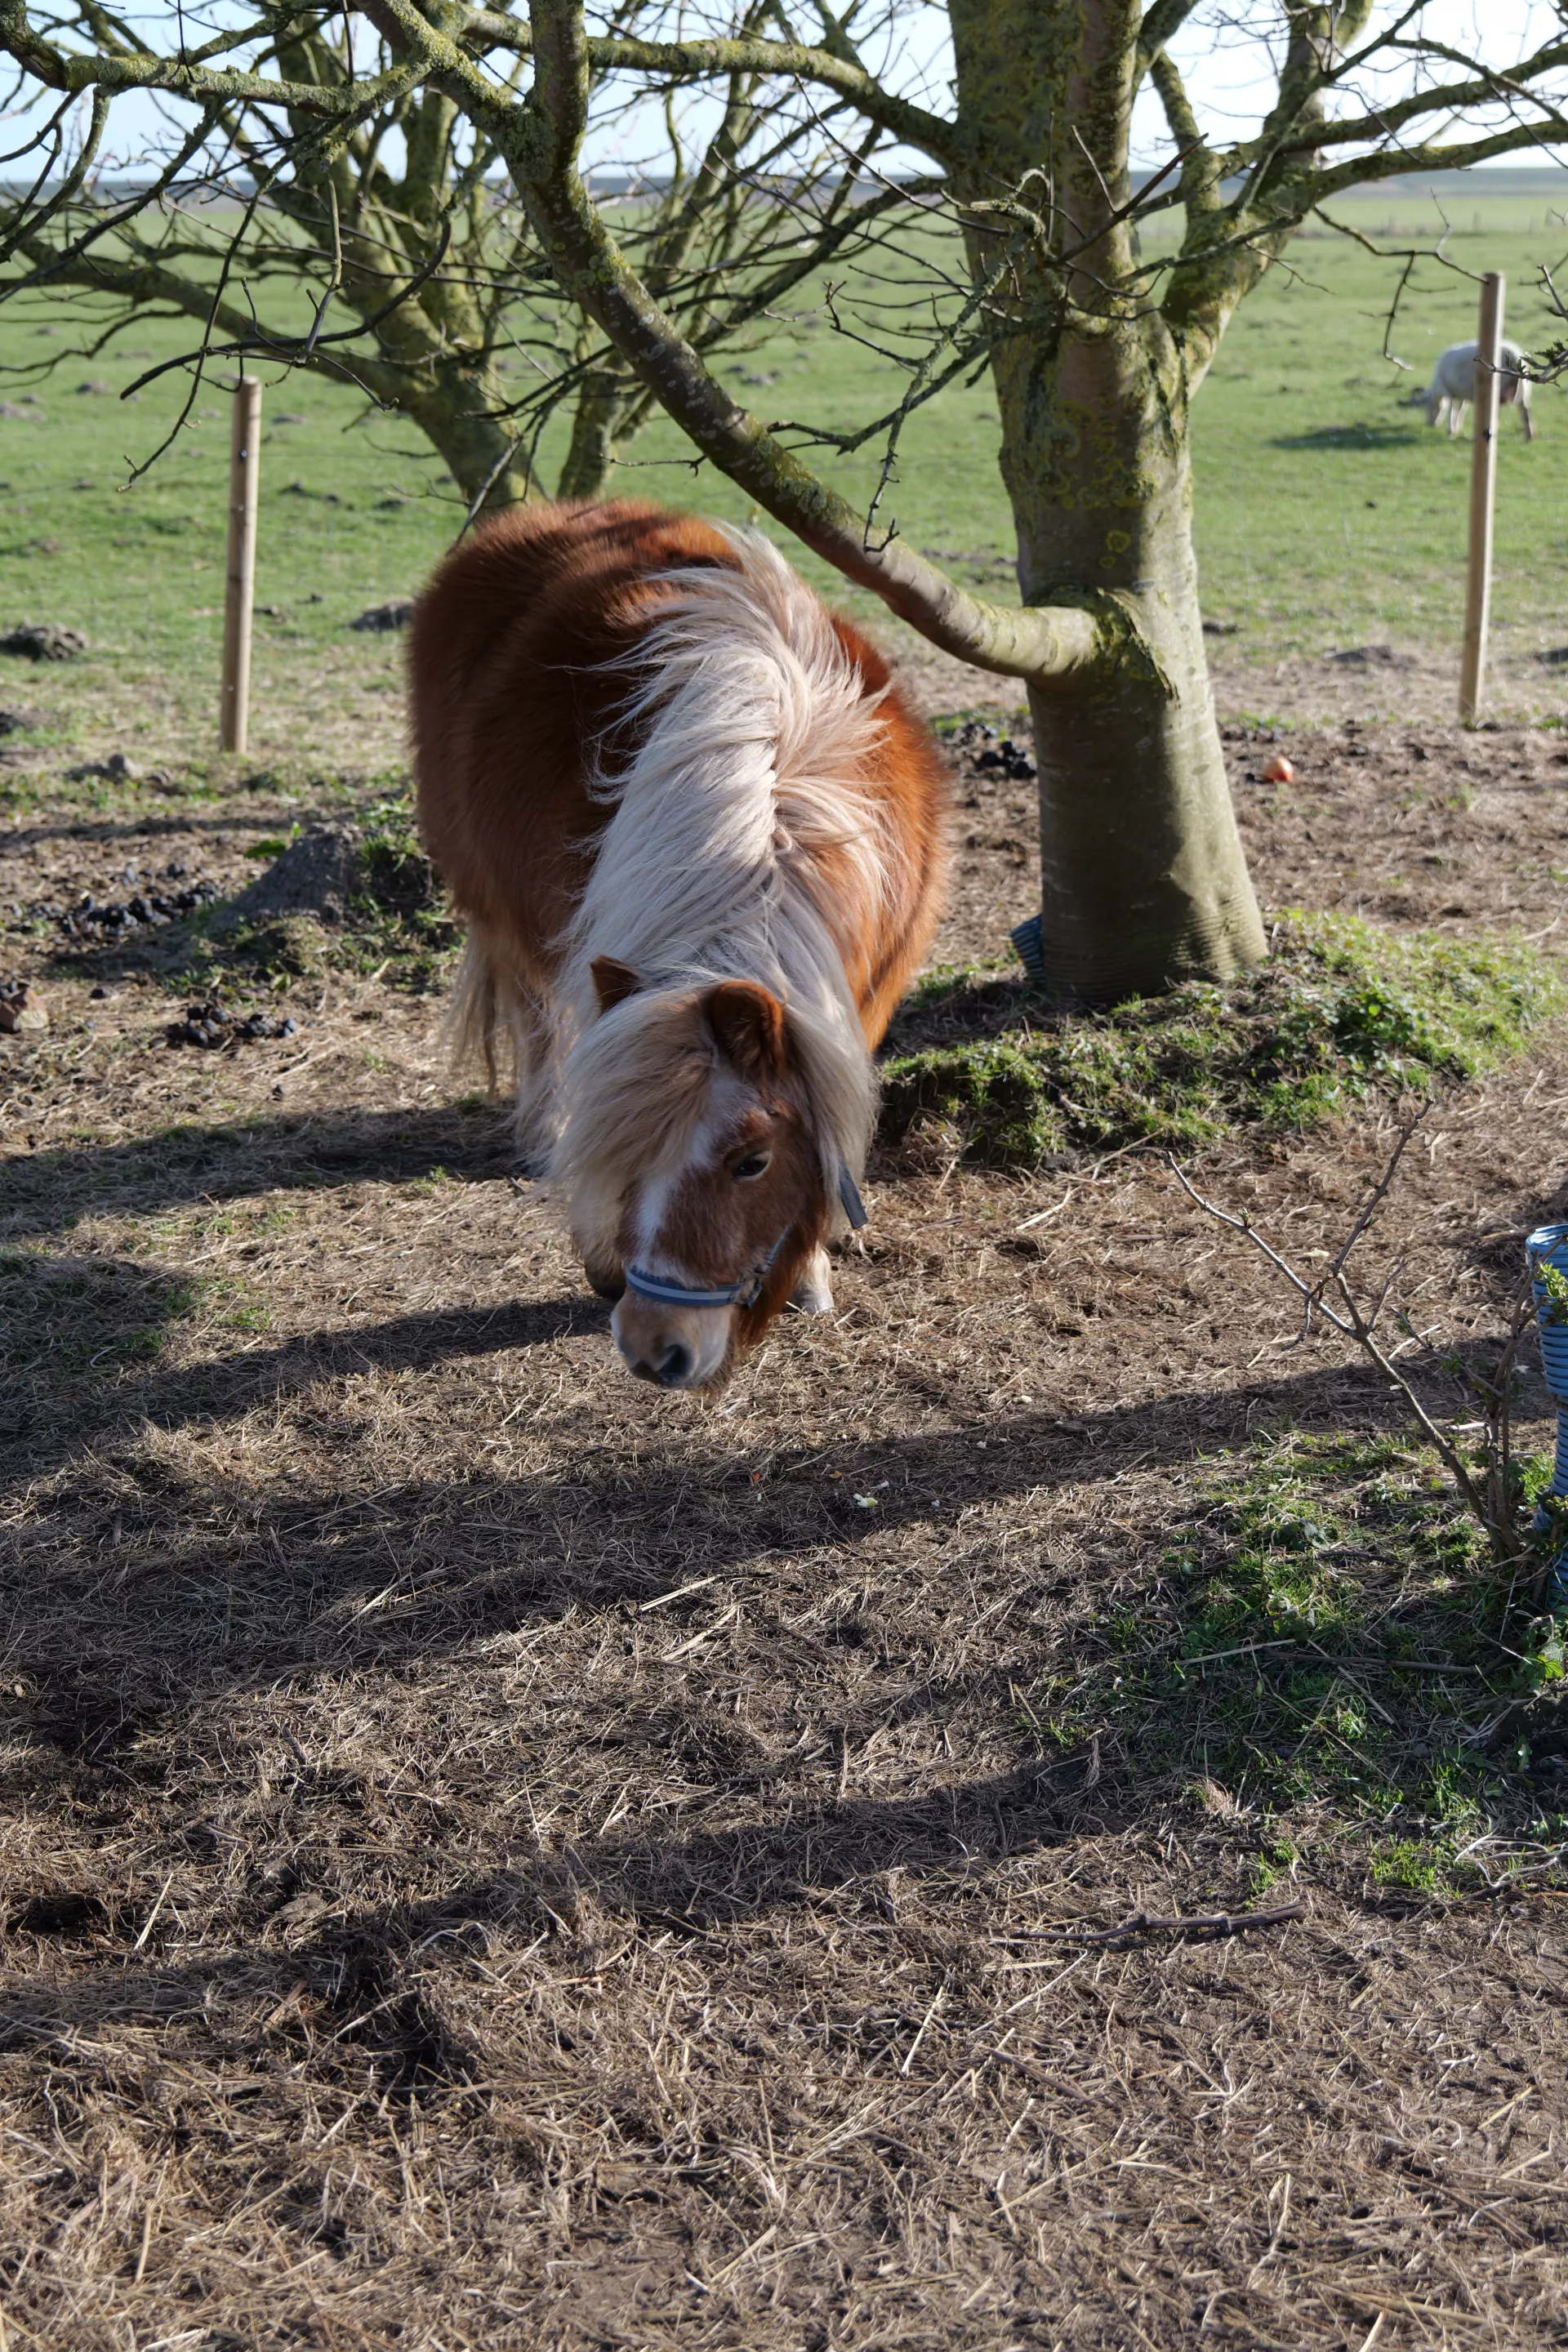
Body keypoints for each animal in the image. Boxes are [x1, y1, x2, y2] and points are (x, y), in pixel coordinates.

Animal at [410, 499, 950, 1391]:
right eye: (629, 1148)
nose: (652, 1347)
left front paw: (811, 1272)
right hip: (510, 933)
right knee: (541, 1046)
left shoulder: (858, 1004)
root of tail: (548, 513)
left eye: (751, 1161)